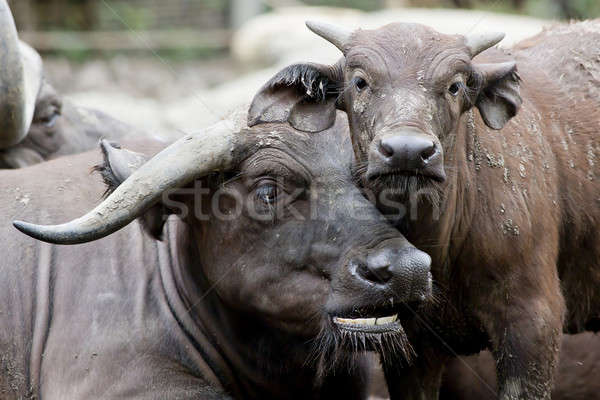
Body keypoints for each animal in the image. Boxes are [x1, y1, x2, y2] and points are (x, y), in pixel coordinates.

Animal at [251, 19, 600, 400]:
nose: (408, 151)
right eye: (360, 82)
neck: (442, 248)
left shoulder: (533, 323)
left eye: (455, 86)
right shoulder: (408, 340)